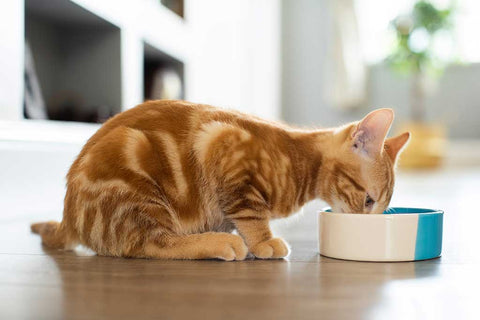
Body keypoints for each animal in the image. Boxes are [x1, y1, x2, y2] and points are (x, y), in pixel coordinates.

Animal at [31, 100, 410, 260]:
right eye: (368, 200)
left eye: (379, 208)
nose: (367, 223)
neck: (300, 159)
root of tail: (68, 215)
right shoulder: (224, 147)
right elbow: (252, 217)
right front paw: (263, 242)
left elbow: (238, 218)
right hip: (137, 183)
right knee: (153, 245)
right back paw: (218, 244)